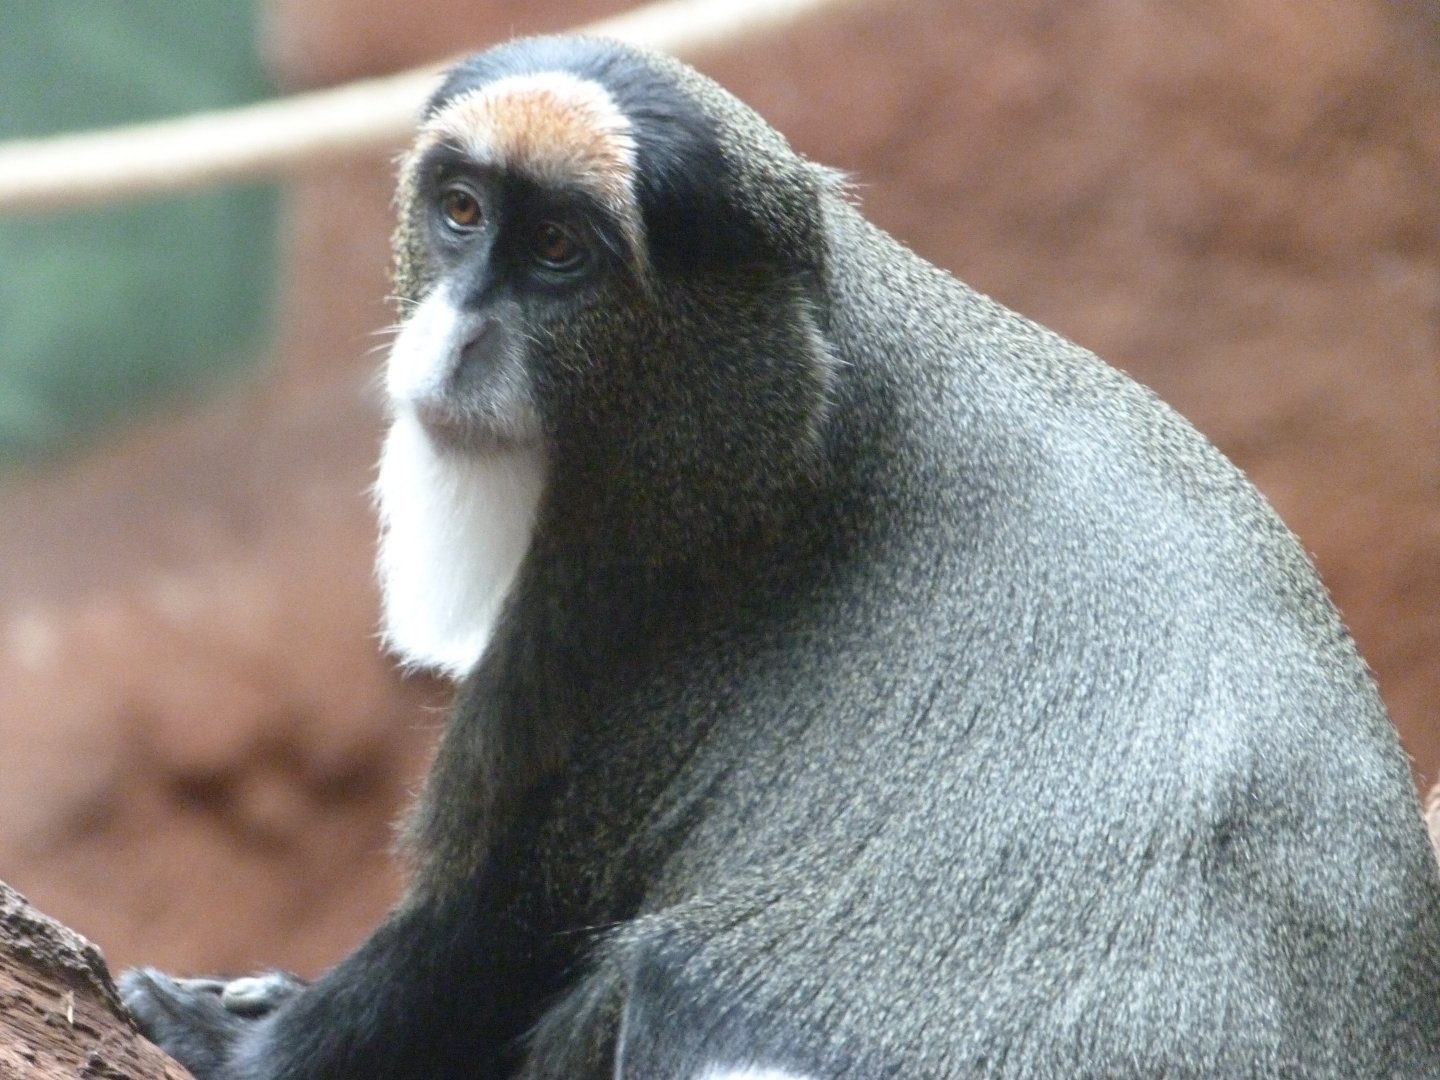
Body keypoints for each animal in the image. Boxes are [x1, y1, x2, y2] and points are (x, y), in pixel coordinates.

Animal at [120, 34, 1440, 1079]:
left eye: (558, 251)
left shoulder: (621, 590)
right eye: (461, 213)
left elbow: (495, 925)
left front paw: (235, 1043)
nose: (453, 335)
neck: (810, 397)